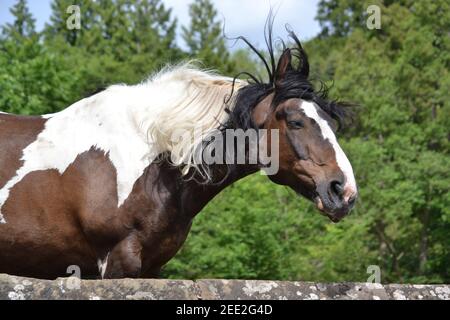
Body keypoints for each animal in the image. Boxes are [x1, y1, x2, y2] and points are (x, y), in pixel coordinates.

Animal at [0, 30, 358, 280]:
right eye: (296, 121)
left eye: (330, 122)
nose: (344, 191)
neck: (151, 161)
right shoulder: (117, 262)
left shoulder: (151, 268)